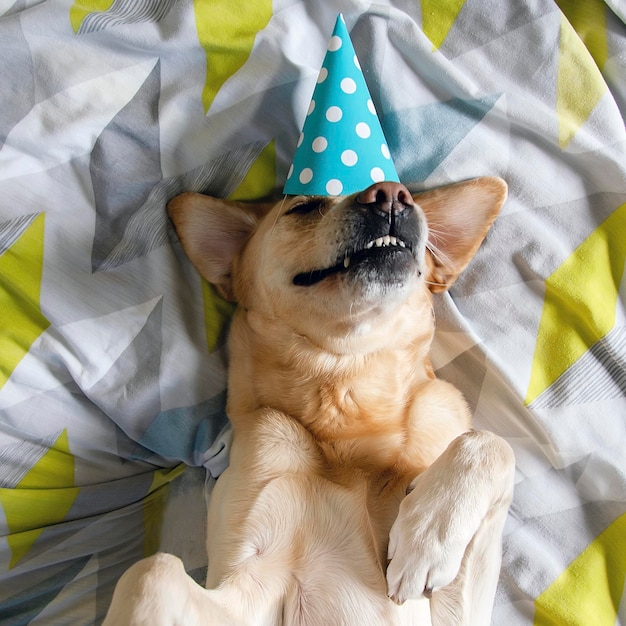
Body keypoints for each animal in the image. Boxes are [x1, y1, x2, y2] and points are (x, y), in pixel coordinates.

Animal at [102, 177, 512, 624]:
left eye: (405, 193)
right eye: (303, 207)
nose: (390, 195)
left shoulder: (459, 609)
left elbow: (491, 443)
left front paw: (427, 538)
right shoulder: (249, 583)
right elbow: (151, 572)